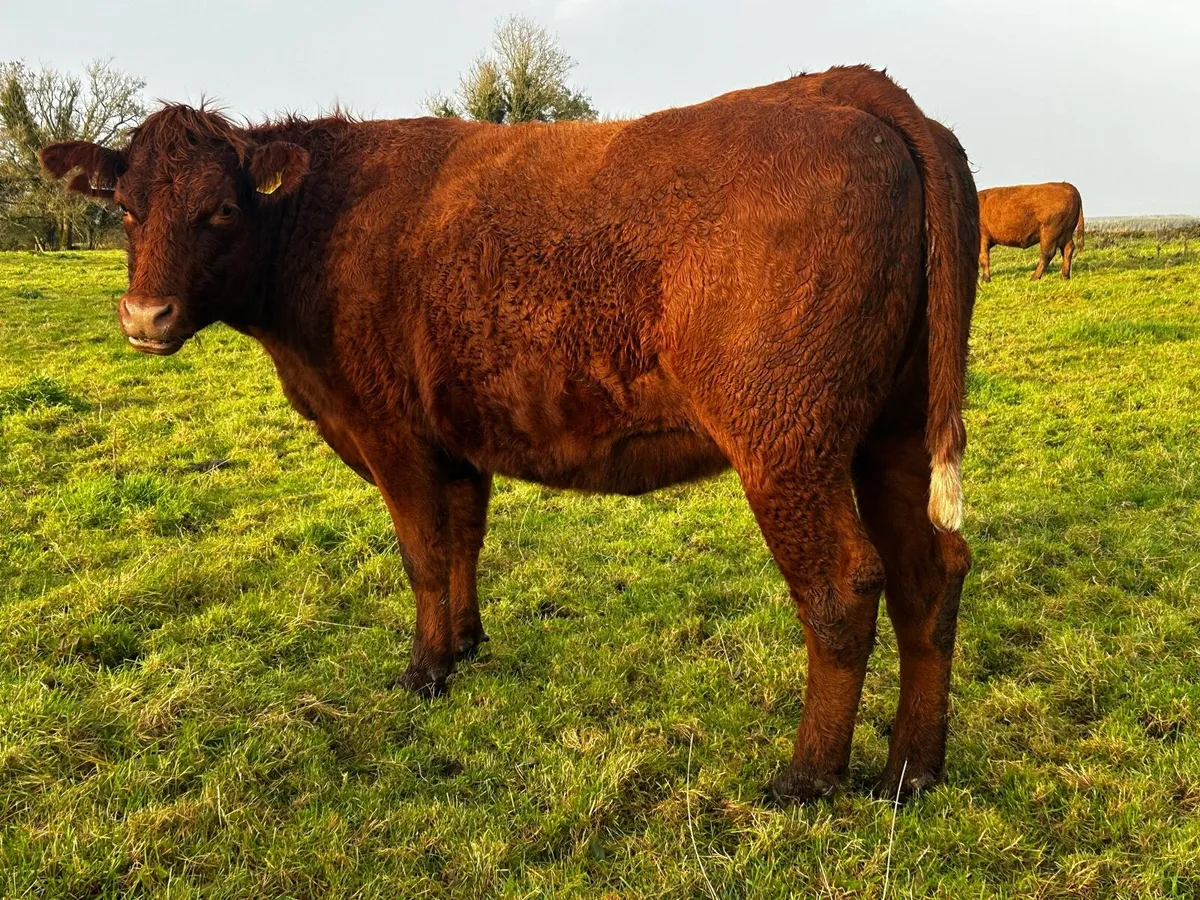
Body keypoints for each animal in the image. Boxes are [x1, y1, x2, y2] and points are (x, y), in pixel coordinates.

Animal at [40, 65, 978, 804]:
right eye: (126, 210)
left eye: (223, 212)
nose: (145, 316)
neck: (318, 230)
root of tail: (853, 90)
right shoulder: (458, 439)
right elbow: (463, 542)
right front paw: (465, 645)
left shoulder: (389, 432)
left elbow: (422, 553)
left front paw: (423, 671)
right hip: (891, 435)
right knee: (928, 573)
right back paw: (910, 772)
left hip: (786, 441)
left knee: (843, 587)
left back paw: (807, 777)